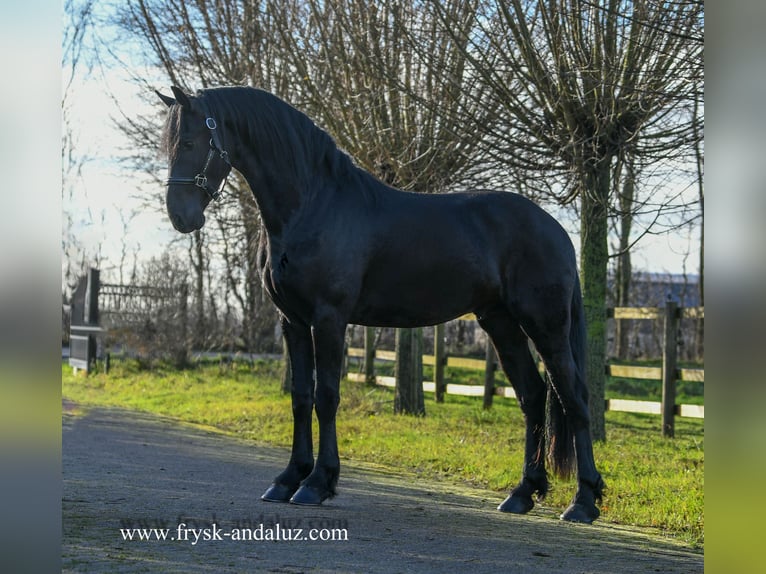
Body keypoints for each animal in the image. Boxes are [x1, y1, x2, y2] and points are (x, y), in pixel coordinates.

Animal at [158, 86, 608, 528]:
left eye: (191, 142)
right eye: (170, 145)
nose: (181, 217)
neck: (314, 205)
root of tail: (556, 229)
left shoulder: (329, 319)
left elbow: (326, 396)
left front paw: (317, 483)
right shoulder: (293, 322)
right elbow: (301, 398)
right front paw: (287, 479)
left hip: (545, 323)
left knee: (573, 397)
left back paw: (583, 501)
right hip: (500, 323)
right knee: (533, 396)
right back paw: (522, 493)